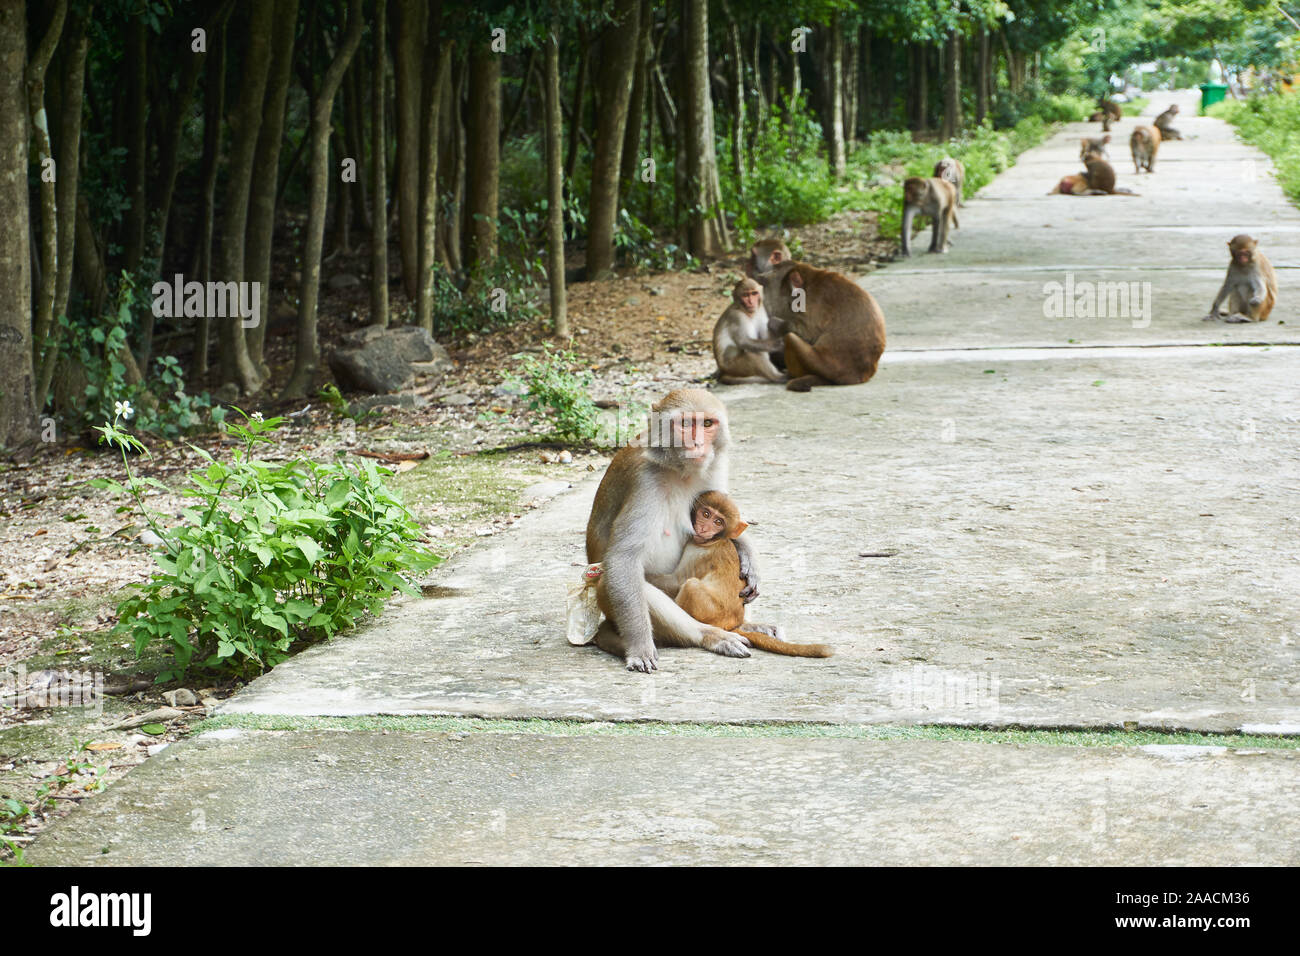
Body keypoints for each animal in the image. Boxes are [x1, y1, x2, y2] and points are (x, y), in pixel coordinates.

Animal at [585, 390, 764, 671]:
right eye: (686, 424)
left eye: (707, 424)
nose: (697, 444)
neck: (680, 470)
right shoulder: (645, 481)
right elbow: (623, 559)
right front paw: (640, 648)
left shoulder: (714, 468)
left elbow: (731, 524)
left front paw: (749, 556)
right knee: (619, 582)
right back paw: (710, 635)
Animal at [748, 240, 889, 390]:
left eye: (772, 275)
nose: (758, 276)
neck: (808, 283)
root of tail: (858, 376)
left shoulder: (810, 305)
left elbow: (806, 334)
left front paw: (774, 323)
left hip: (821, 366)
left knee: (791, 338)